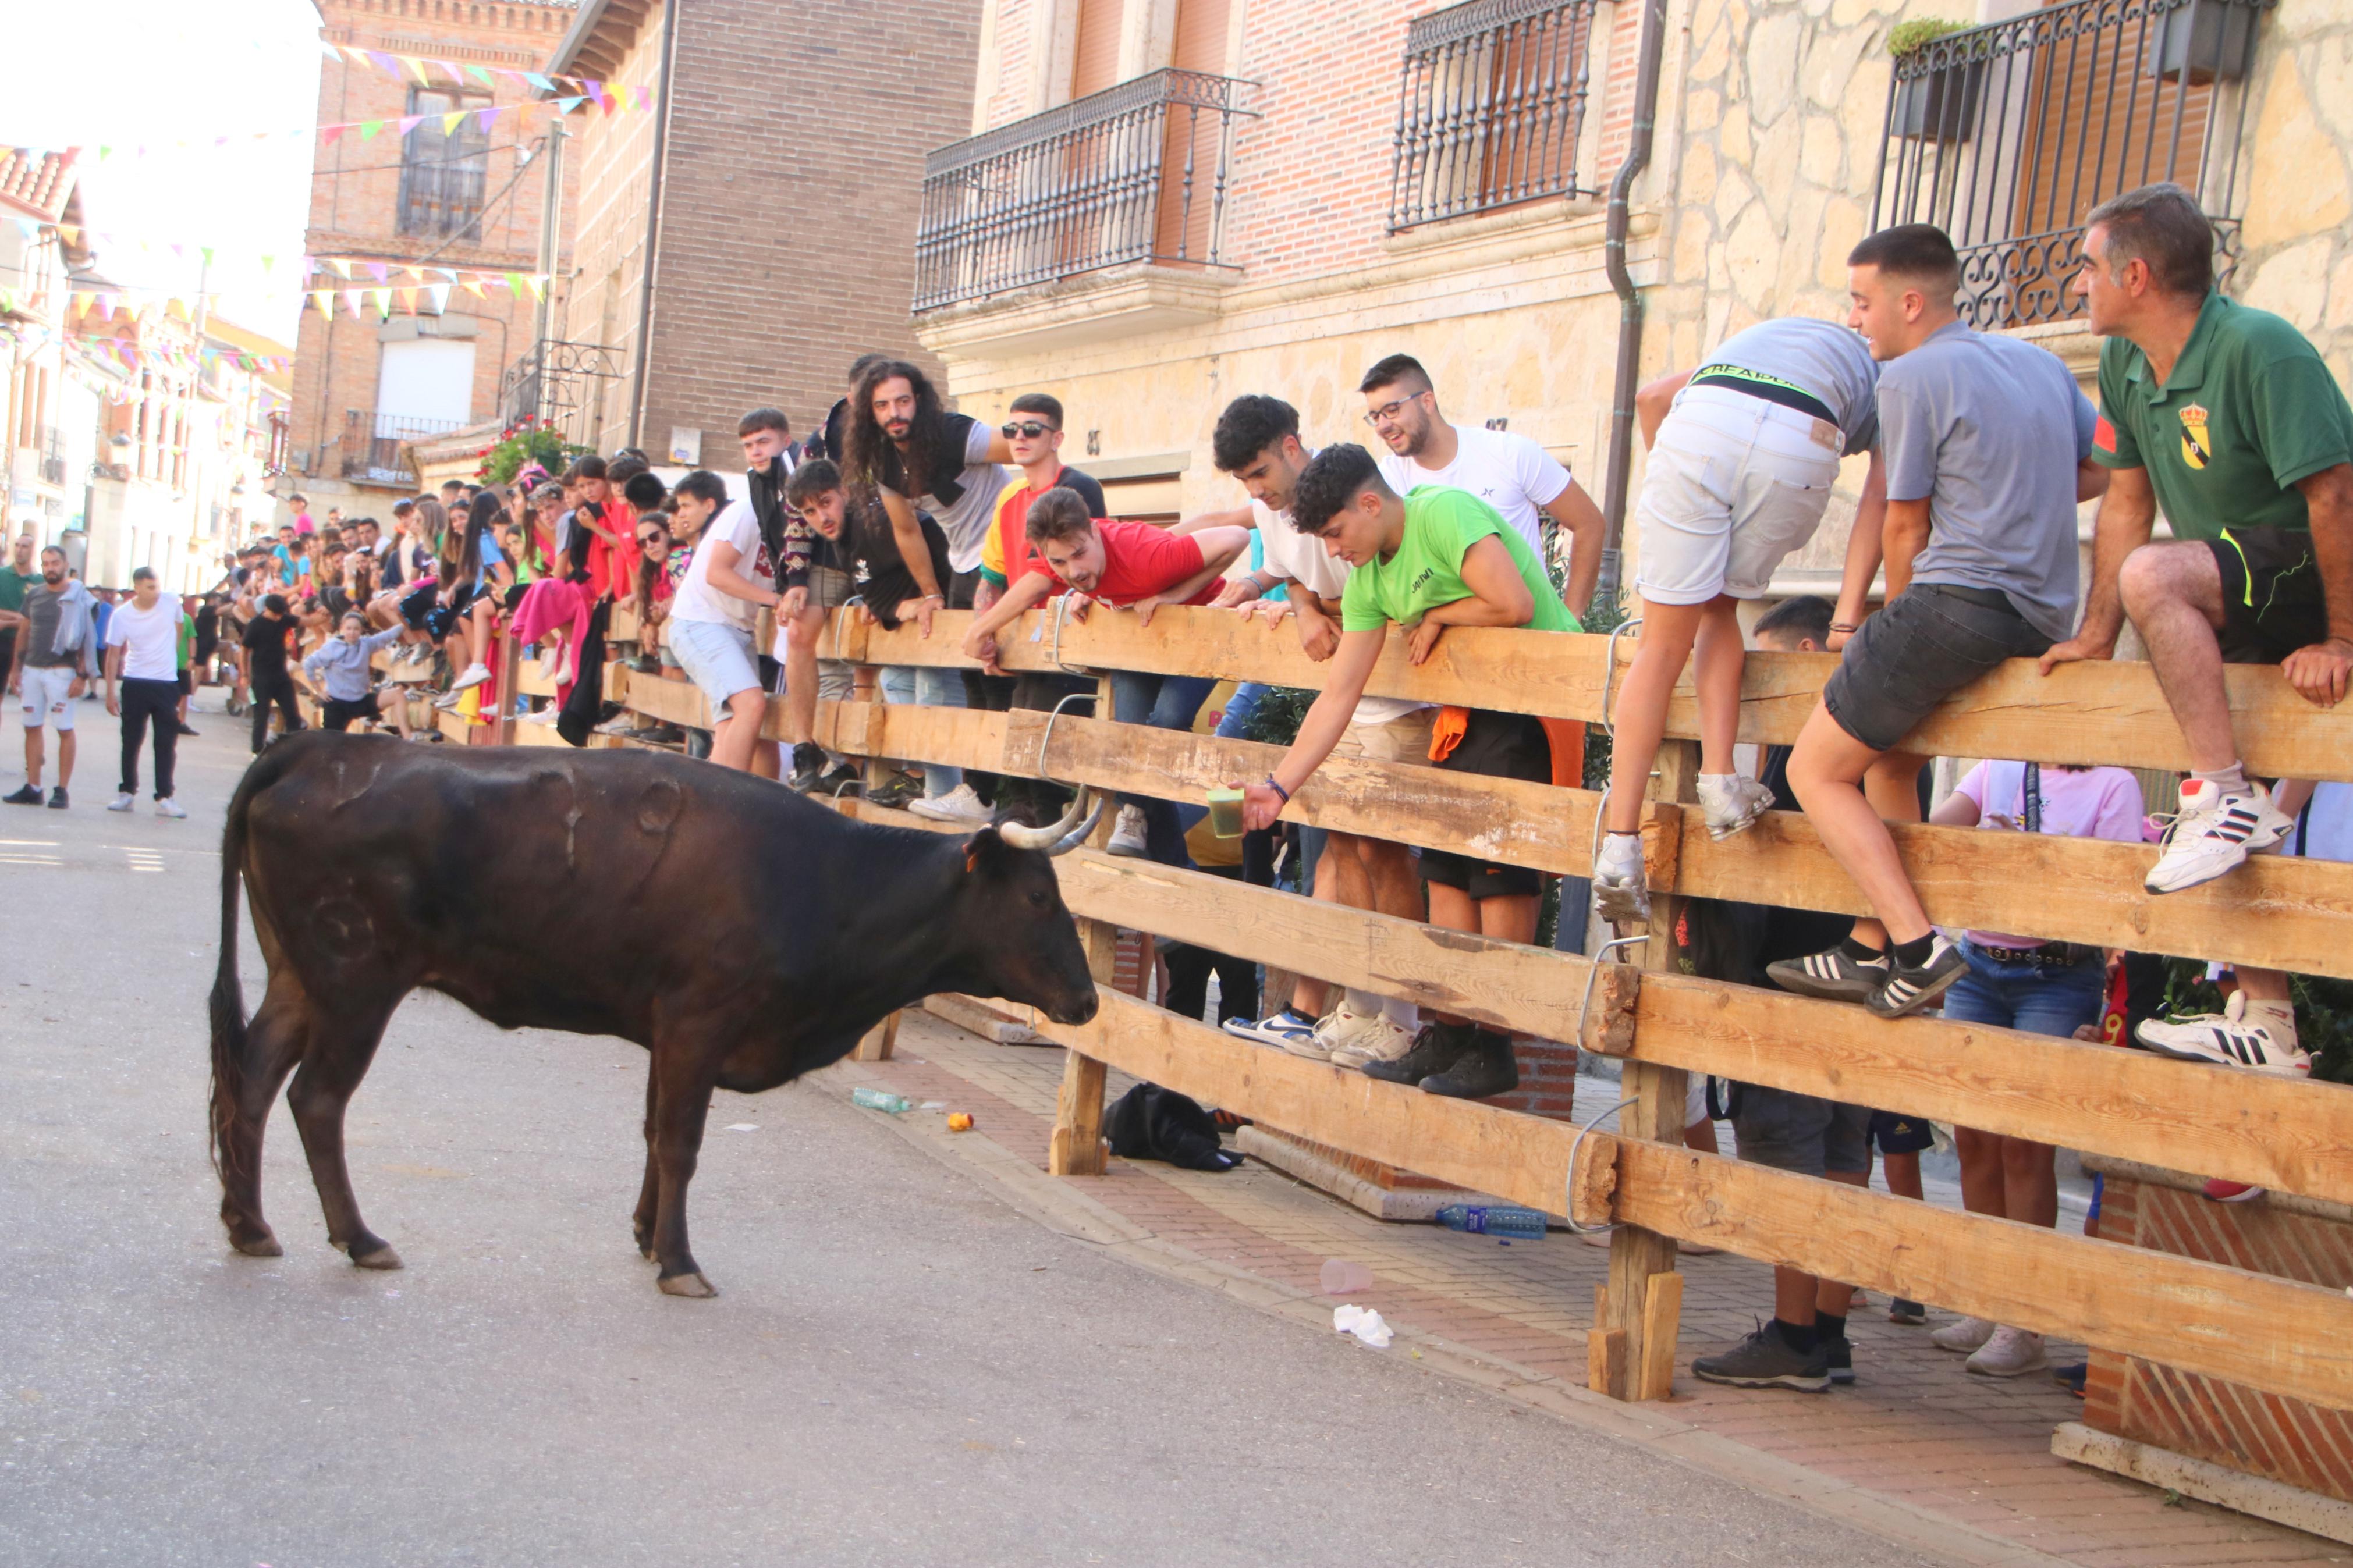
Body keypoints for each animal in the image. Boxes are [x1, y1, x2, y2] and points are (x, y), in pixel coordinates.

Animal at [209, 738, 1091, 1297]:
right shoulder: (698, 1024)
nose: (1086, 1001)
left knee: (251, 1079)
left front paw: (644, 1233)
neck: (823, 882)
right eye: (1035, 897)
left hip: (297, 977)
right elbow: (680, 1143)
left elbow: (650, 1131)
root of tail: (321, 745)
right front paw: (678, 1259)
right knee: (315, 1098)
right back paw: (359, 1238)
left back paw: (249, 1224)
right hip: (356, 983)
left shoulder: (665, 1032)